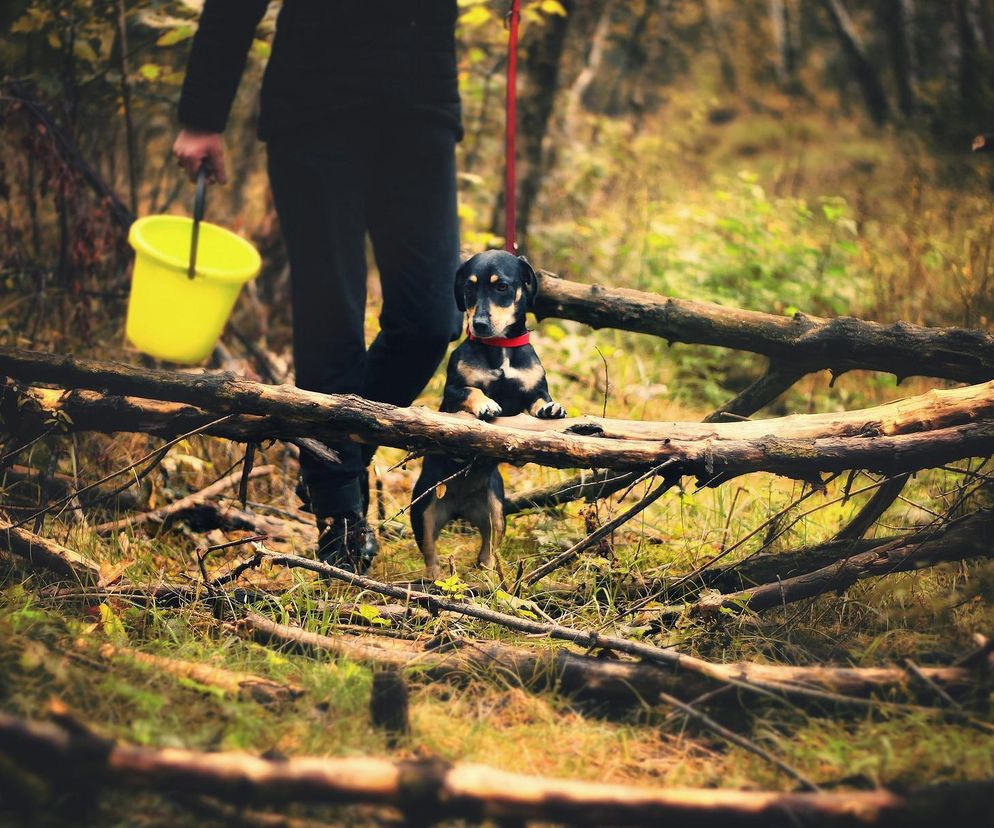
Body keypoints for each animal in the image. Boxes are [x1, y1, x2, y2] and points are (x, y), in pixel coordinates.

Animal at [410, 249, 564, 580]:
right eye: (468, 288)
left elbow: (539, 402)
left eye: (501, 287)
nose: (479, 323)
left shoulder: (534, 390)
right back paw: (436, 579)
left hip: (496, 511)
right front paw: (486, 405)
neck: (500, 347)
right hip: (424, 509)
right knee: (430, 553)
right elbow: (472, 391)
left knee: (487, 552)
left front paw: (551, 409)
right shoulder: (453, 393)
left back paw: (489, 575)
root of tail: (459, 508)